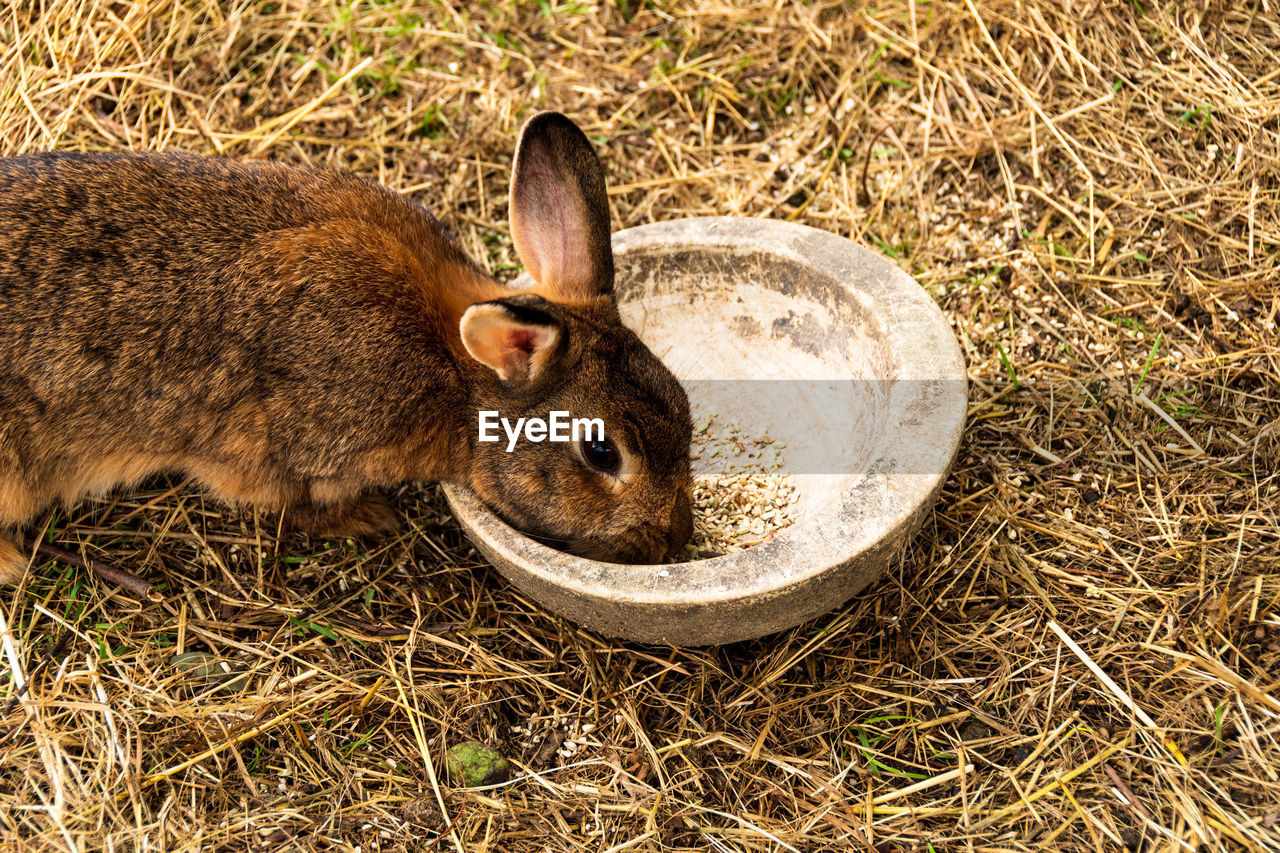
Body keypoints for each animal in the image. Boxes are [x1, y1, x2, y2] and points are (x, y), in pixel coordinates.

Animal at [0, 111, 696, 584]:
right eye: (602, 453)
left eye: (685, 408)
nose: (675, 540)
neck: (456, 376)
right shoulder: (277, 450)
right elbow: (286, 503)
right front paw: (369, 519)